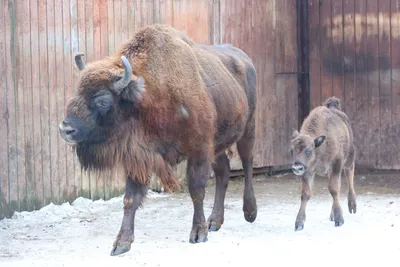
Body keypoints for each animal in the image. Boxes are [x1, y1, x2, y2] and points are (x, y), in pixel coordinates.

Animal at [58, 24, 258, 256]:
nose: (66, 129)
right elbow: (130, 198)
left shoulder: (199, 151)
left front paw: (198, 234)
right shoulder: (138, 159)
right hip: (217, 146)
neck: (149, 95)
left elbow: (196, 190)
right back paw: (215, 222)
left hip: (247, 129)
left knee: (247, 163)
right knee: (223, 173)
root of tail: (246, 59)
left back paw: (250, 212)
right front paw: (121, 244)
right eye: (78, 92)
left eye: (103, 101)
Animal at [290, 97, 356, 231]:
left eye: (309, 151)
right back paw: (332, 214)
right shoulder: (308, 171)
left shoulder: (336, 165)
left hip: (348, 158)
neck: (319, 147)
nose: (296, 167)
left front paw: (339, 220)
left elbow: (334, 189)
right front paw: (299, 223)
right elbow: (305, 194)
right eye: (291, 150)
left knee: (350, 173)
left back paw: (352, 205)